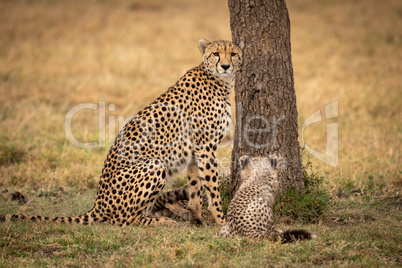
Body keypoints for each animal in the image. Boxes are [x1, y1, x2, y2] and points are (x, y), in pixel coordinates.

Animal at [0, 39, 243, 226]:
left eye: (233, 54)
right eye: (215, 53)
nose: (225, 66)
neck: (220, 81)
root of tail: (97, 203)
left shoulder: (195, 151)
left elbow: (195, 188)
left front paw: (196, 218)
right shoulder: (204, 148)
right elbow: (211, 188)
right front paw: (222, 221)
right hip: (154, 165)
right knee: (124, 220)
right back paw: (162, 221)